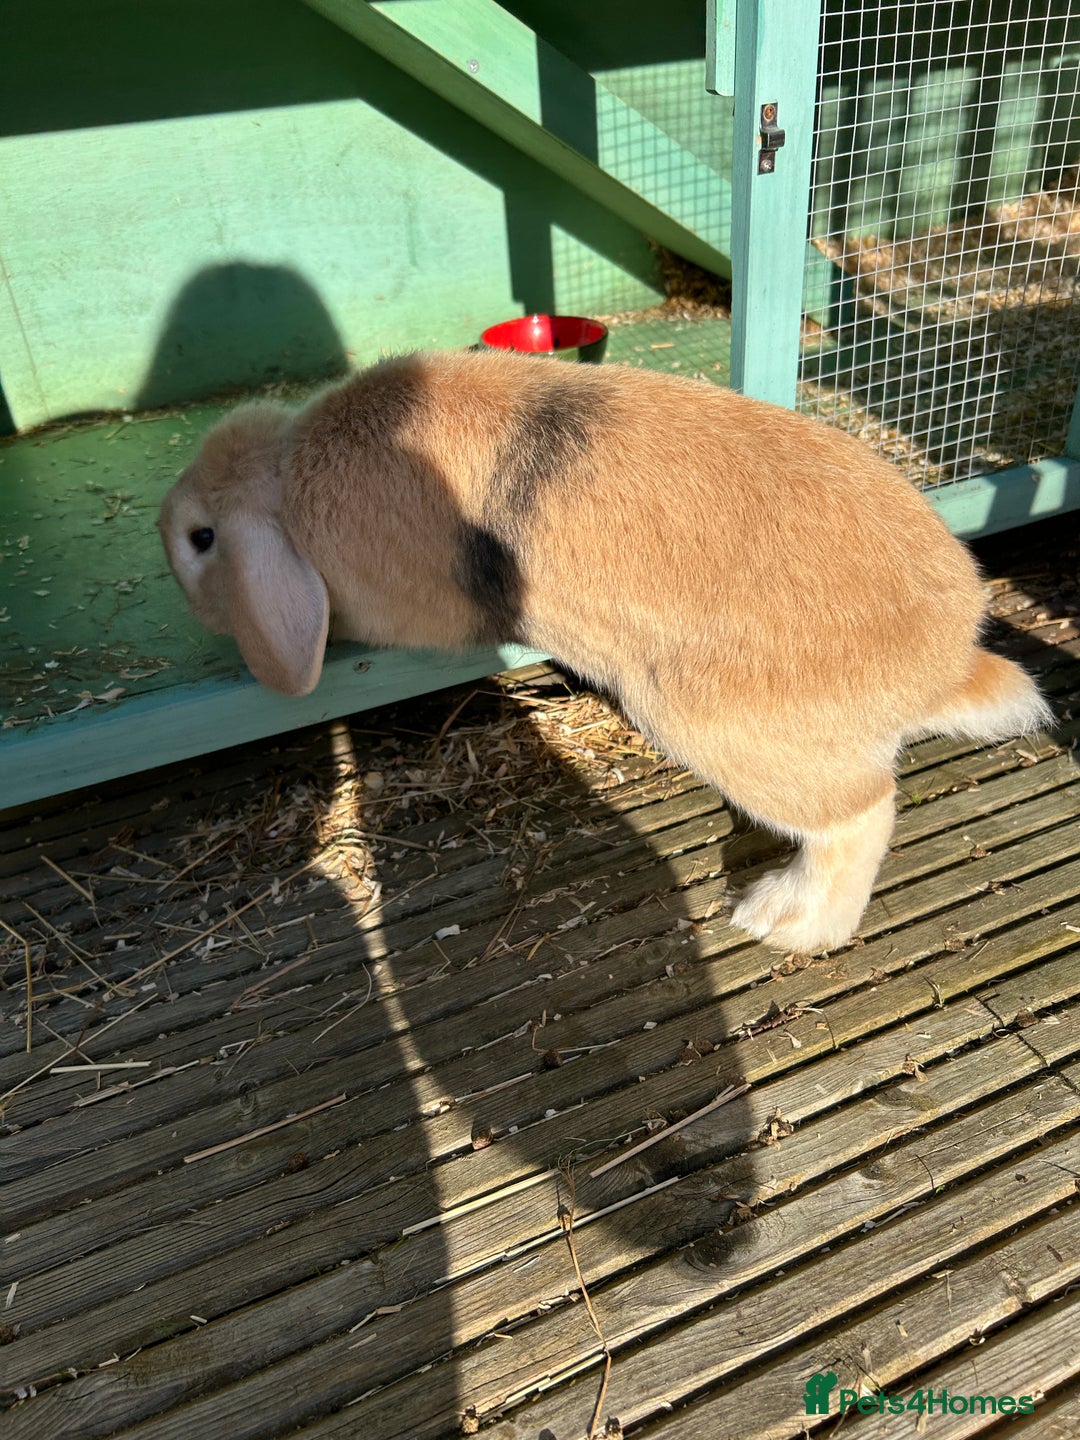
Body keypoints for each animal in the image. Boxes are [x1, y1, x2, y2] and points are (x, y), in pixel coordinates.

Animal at [159, 348, 1051, 955]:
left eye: (203, 539)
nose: (166, 539)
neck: (284, 482)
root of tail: (944, 664)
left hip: (713, 726)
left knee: (861, 814)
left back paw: (783, 920)